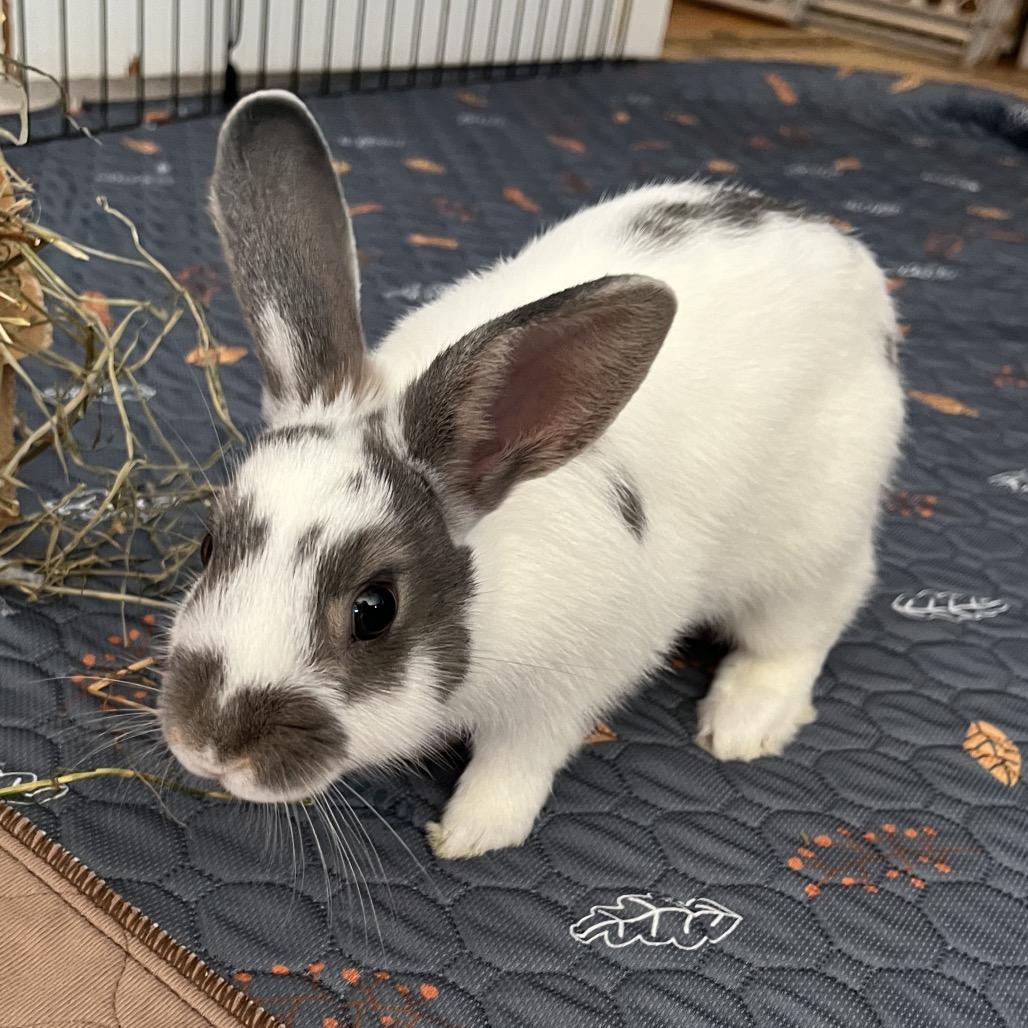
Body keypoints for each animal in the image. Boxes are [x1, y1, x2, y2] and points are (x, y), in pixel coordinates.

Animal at [159, 90, 904, 859]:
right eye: (207, 547)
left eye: (374, 610)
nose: (207, 747)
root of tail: (848, 259)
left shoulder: (566, 688)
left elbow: (519, 761)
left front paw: (469, 833)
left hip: (812, 542)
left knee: (810, 623)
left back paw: (743, 723)